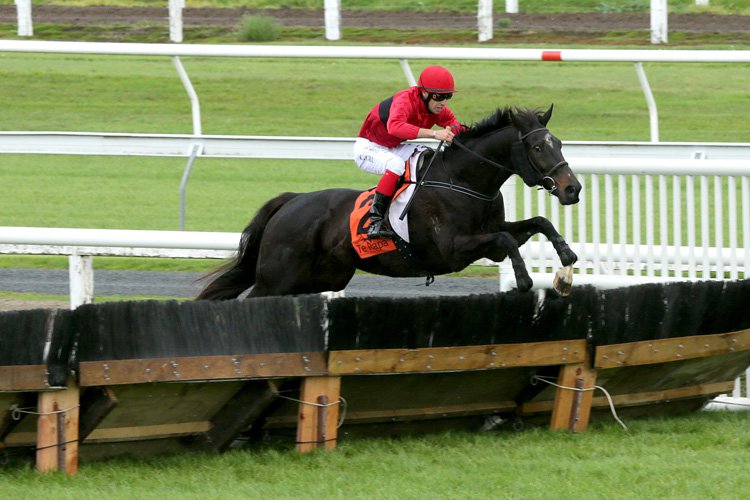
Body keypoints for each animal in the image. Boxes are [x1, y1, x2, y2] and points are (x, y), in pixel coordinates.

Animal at [198, 106, 580, 298]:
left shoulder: (493, 234)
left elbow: (537, 224)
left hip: (320, 279)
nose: (572, 189)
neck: (463, 182)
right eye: (537, 147)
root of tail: (290, 203)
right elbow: (505, 240)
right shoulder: (452, 249)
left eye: (559, 143)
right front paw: (525, 279)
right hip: (276, 279)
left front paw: (565, 261)